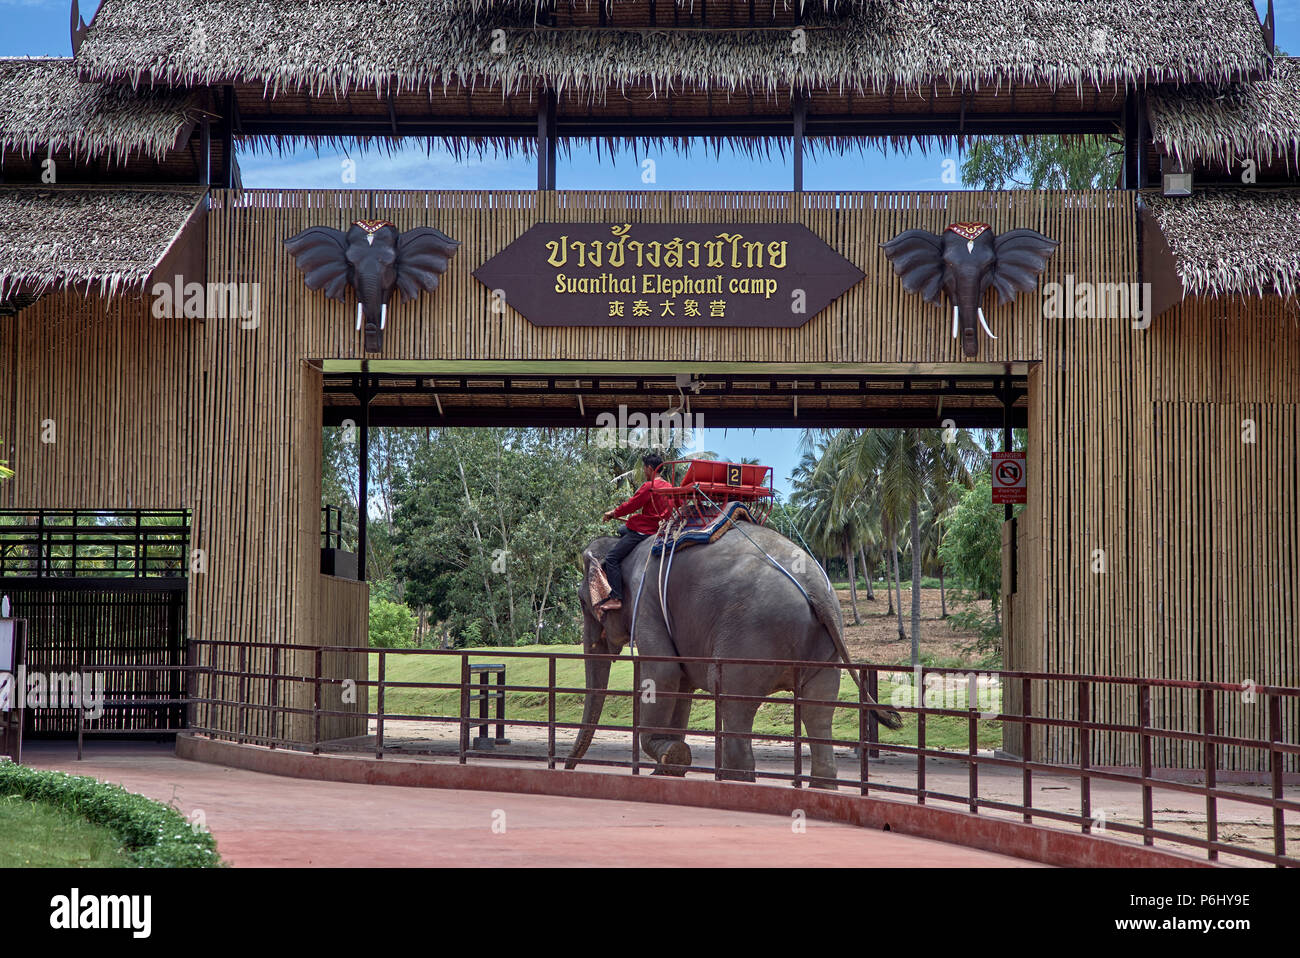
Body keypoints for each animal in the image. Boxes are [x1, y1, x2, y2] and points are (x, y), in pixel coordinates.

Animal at [569, 522, 904, 785]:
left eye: (583, 603)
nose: (566, 767)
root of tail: (817, 589)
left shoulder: (647, 602)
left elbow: (663, 674)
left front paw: (671, 754)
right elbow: (682, 684)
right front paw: (668, 767)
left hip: (750, 637)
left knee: (734, 706)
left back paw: (735, 781)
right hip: (824, 651)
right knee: (818, 711)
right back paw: (821, 786)